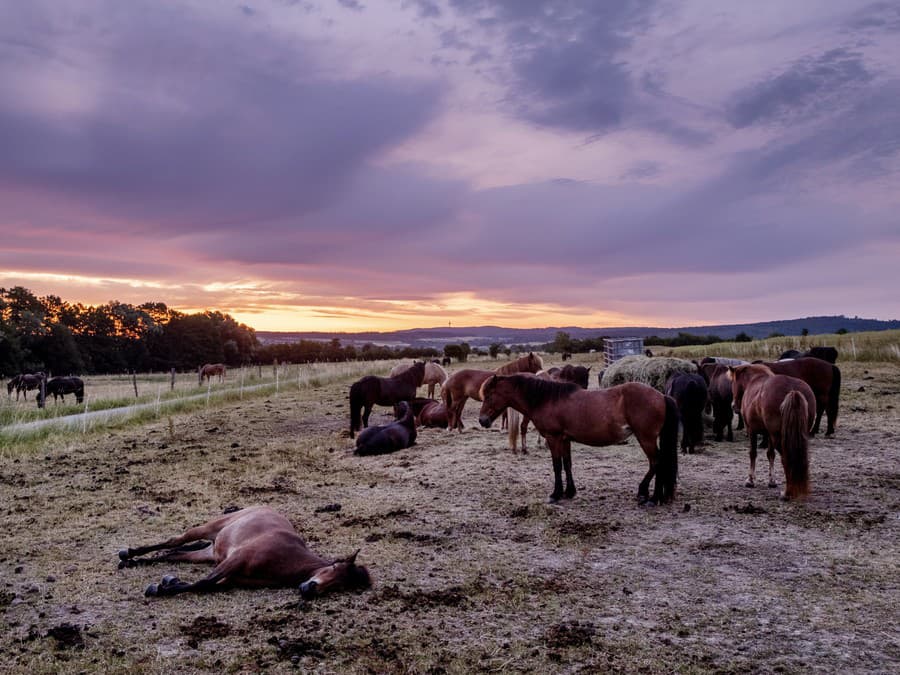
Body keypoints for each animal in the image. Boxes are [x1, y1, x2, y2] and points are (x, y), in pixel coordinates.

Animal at [478, 374, 676, 508]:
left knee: (656, 462)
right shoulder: (565, 439)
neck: (546, 399)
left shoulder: (554, 438)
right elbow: (567, 464)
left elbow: (557, 466)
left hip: (646, 438)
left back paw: (651, 497)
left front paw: (556, 494)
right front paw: (569, 492)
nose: (482, 420)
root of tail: (661, 396)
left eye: (489, 395)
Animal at [732, 364, 816, 502]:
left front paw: (750, 480)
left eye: (733, 382)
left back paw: (788, 493)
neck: (754, 381)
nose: (733, 406)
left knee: (787, 460)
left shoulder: (751, 430)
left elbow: (753, 453)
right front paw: (772, 481)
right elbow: (770, 454)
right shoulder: (768, 434)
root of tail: (793, 391)